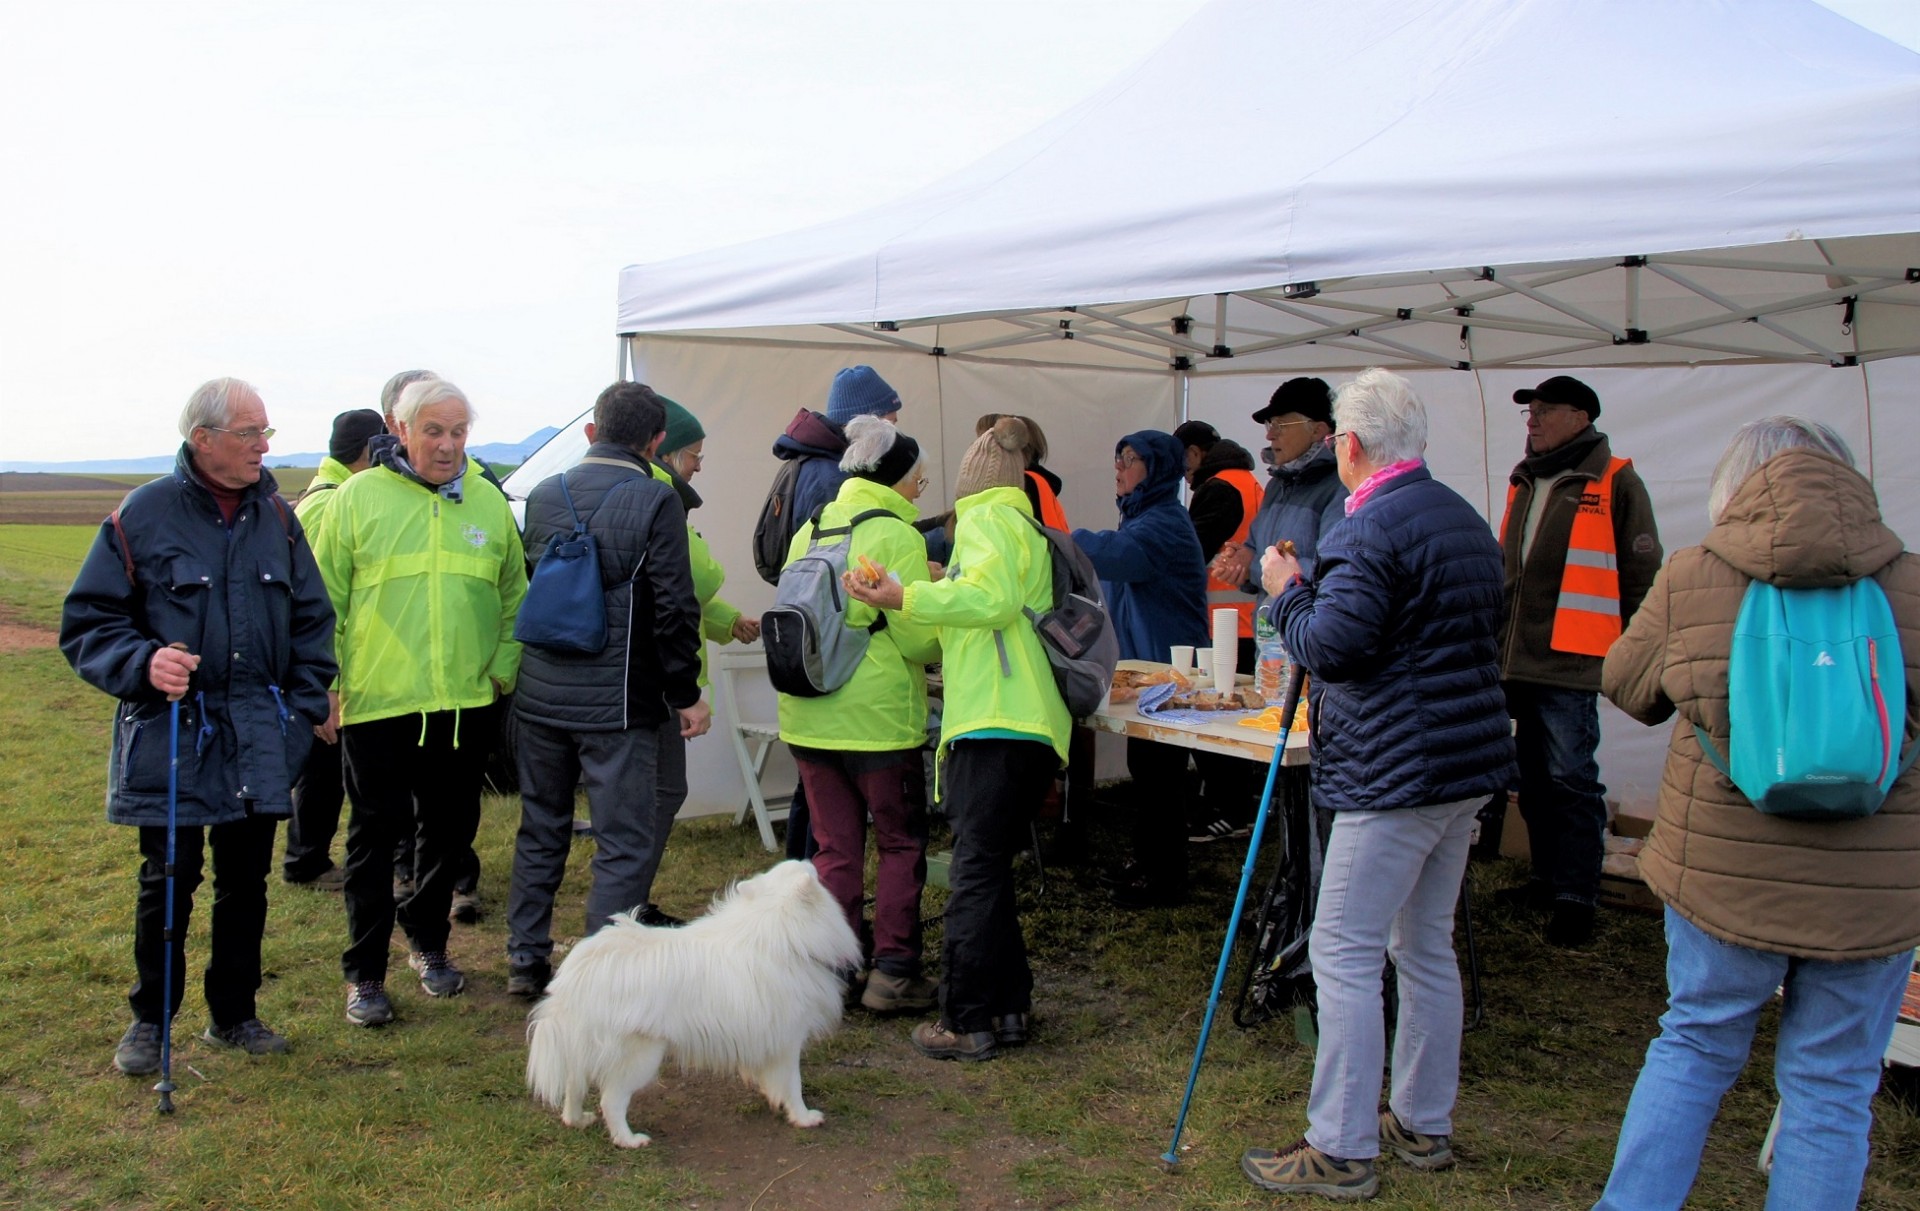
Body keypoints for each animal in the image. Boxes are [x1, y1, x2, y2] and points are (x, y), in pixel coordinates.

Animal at [522, 855, 860, 1151]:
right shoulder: (788, 1040)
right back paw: (628, 1140)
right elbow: (793, 1084)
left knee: (574, 1085)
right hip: (640, 1055)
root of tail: (581, 972)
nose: (811, 859)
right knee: (611, 1100)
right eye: (810, 872)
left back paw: (577, 1120)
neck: (778, 930)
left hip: (583, 1046)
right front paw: (804, 1118)